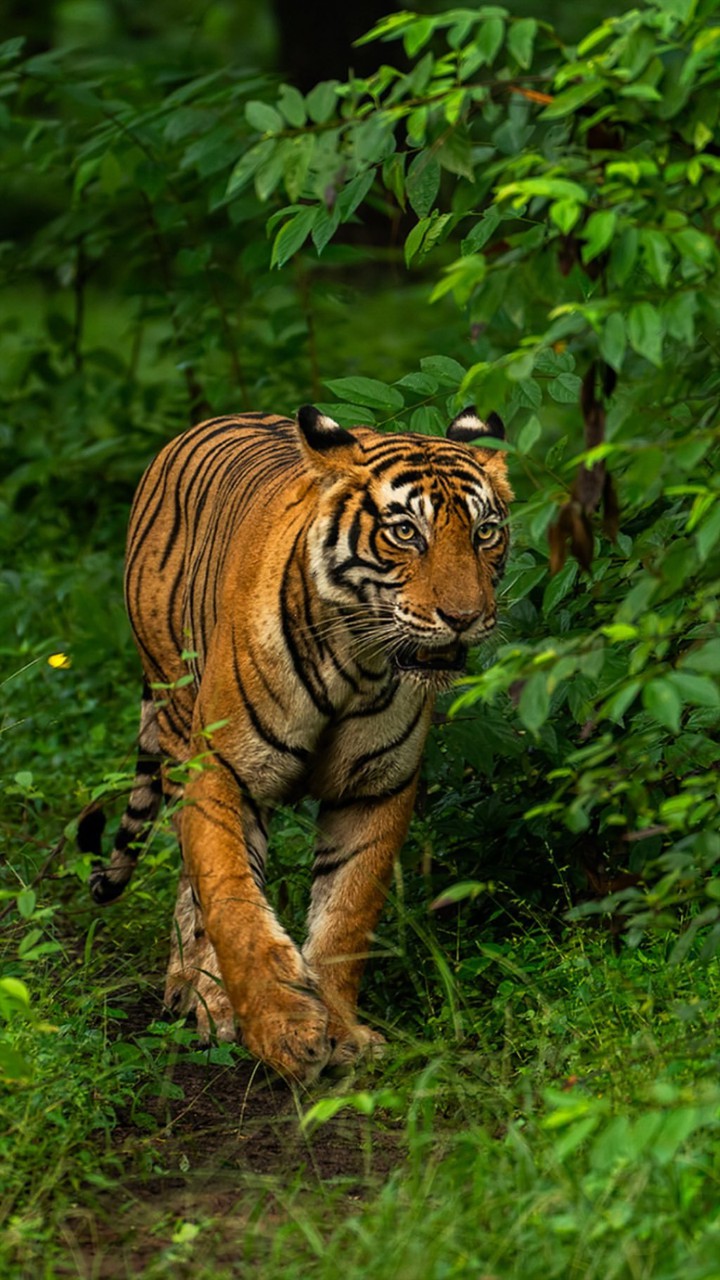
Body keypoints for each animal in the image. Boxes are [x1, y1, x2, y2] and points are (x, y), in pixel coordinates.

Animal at [79, 403, 512, 1082]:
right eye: (406, 533)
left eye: (485, 533)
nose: (465, 618)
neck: (356, 662)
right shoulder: (223, 773)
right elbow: (231, 900)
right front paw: (282, 1029)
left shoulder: (376, 787)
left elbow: (346, 915)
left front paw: (341, 1032)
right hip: (174, 715)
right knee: (193, 883)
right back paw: (197, 995)